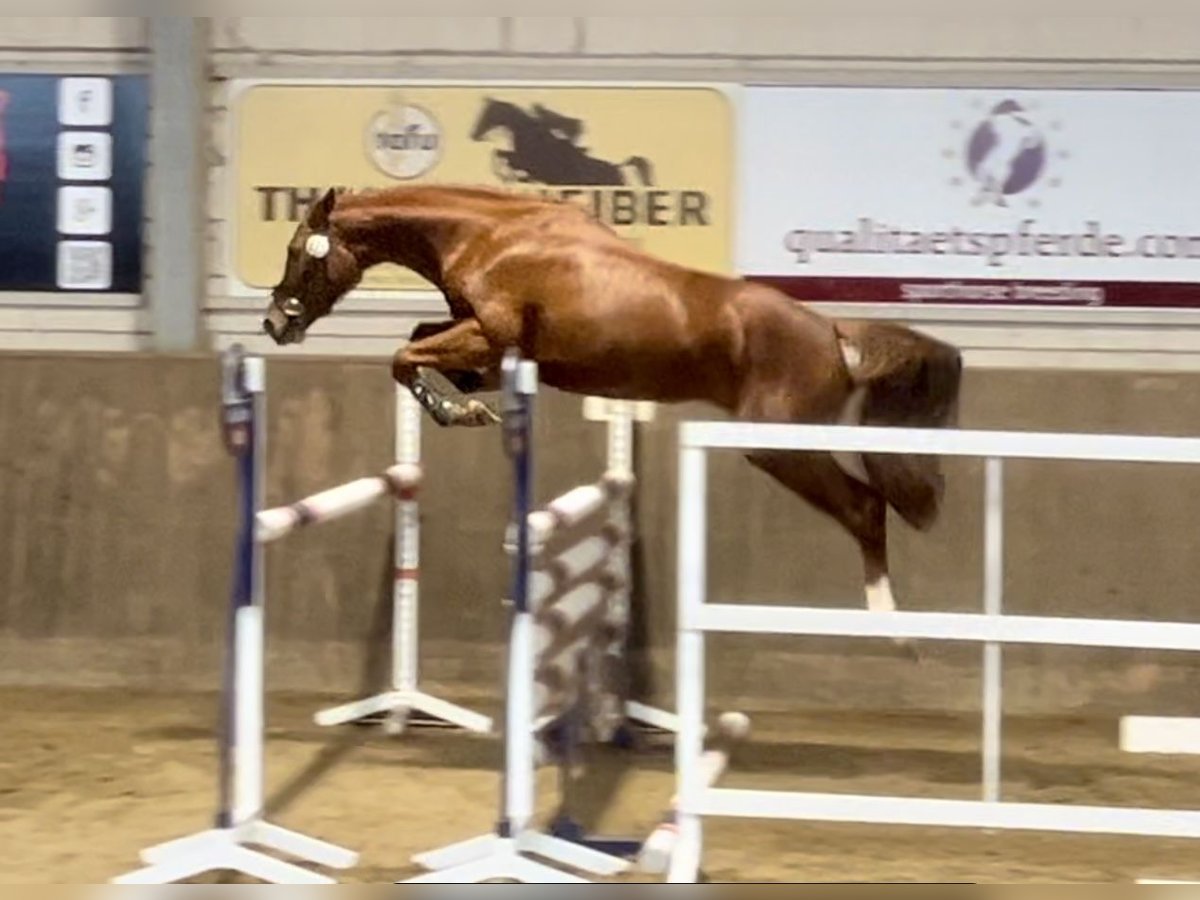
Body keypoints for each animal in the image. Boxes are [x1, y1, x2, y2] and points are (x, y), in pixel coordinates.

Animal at [265, 183, 964, 638]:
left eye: (299, 250)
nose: (275, 324)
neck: (491, 237)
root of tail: (833, 334)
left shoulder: (490, 337)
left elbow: (403, 355)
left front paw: (458, 412)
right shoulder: (487, 349)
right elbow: (417, 344)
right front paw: (467, 408)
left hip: (777, 446)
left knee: (865, 506)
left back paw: (889, 625)